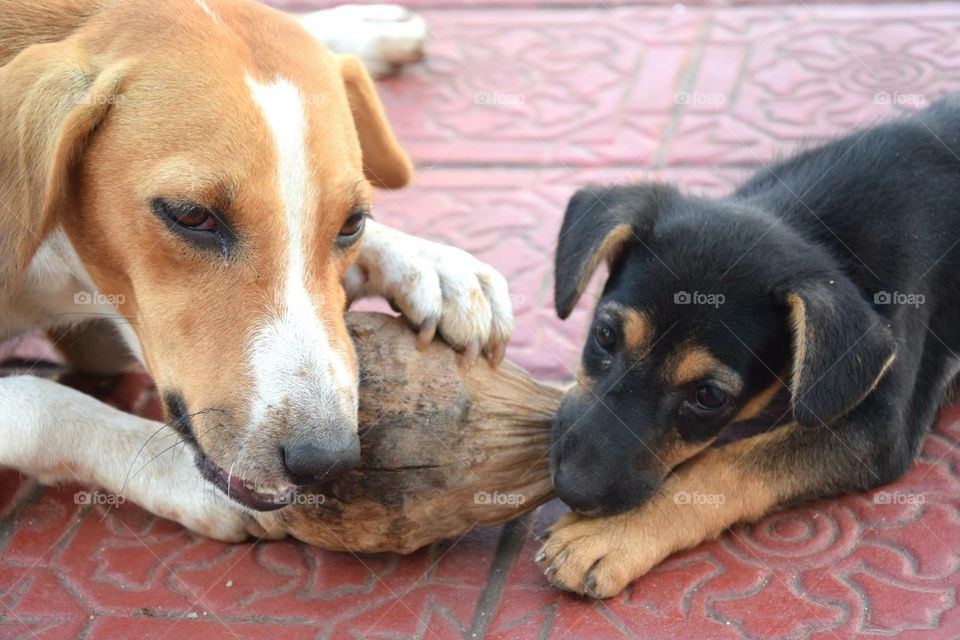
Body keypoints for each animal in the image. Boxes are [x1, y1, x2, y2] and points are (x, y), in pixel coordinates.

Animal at [0, 0, 512, 540]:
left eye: (353, 222)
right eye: (190, 215)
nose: (326, 461)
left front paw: (432, 263)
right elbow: (35, 404)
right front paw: (177, 475)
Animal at [536, 96, 960, 600]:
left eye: (709, 396)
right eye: (604, 335)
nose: (571, 489)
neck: (821, 230)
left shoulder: (880, 428)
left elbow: (728, 464)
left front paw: (610, 534)